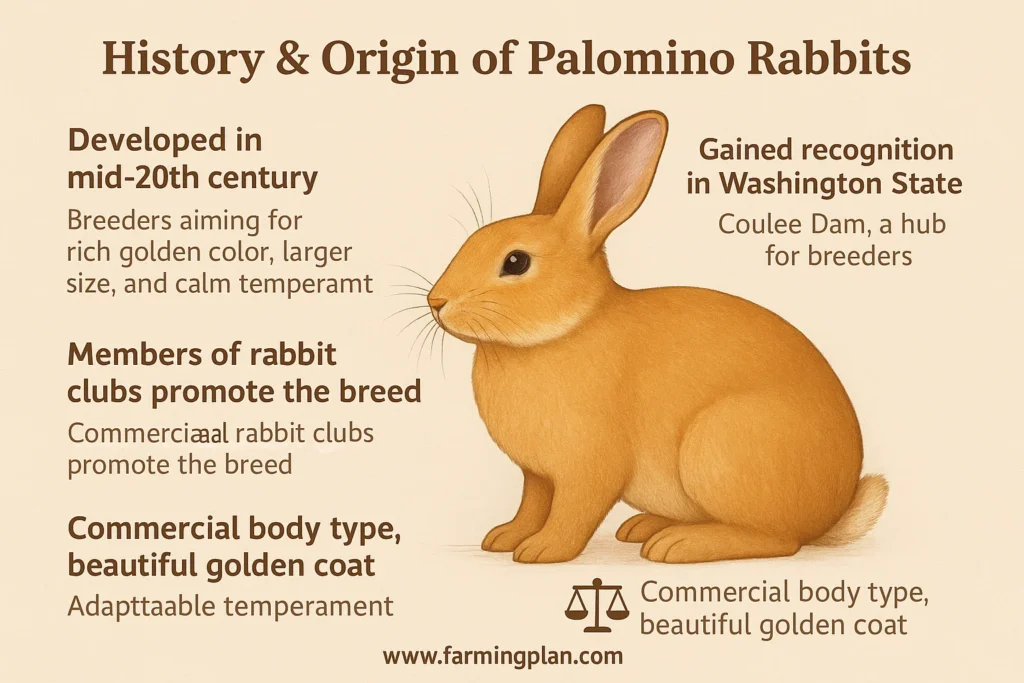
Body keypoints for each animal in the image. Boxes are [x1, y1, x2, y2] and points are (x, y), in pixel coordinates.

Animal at [427, 104, 887, 564]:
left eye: (516, 262)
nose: (436, 301)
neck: (569, 327)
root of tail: (831, 512)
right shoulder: (537, 475)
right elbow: (532, 505)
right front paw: (504, 538)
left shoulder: (589, 467)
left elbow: (572, 512)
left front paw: (543, 550)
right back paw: (646, 527)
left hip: (721, 445)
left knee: (777, 539)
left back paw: (676, 544)